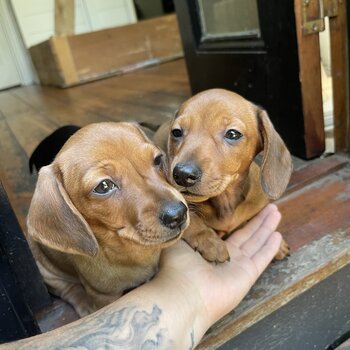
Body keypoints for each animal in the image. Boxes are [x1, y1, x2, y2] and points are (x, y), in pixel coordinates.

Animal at [26, 123, 189, 318]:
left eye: (157, 160)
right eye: (103, 186)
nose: (178, 214)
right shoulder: (104, 296)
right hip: (46, 271)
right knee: (68, 290)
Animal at [154, 89, 292, 264]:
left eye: (232, 134)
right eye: (176, 132)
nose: (182, 174)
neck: (225, 201)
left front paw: (278, 246)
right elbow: (191, 221)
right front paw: (210, 241)